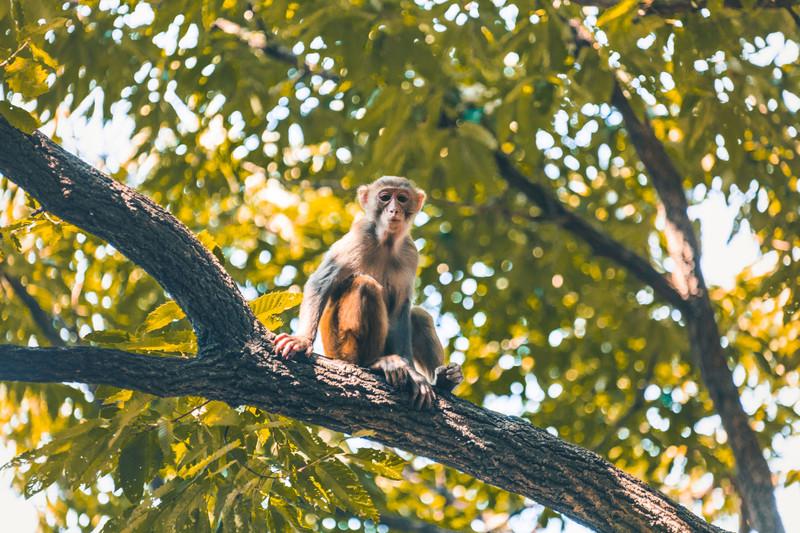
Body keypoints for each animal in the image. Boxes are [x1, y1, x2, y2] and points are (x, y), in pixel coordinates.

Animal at [274, 177, 462, 410]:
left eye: (402, 198)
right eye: (385, 197)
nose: (394, 210)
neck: (387, 243)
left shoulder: (410, 253)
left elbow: (401, 310)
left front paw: (414, 373)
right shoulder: (360, 235)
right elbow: (322, 282)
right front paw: (301, 341)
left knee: (419, 315)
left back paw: (446, 380)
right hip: (338, 346)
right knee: (366, 286)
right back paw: (373, 363)